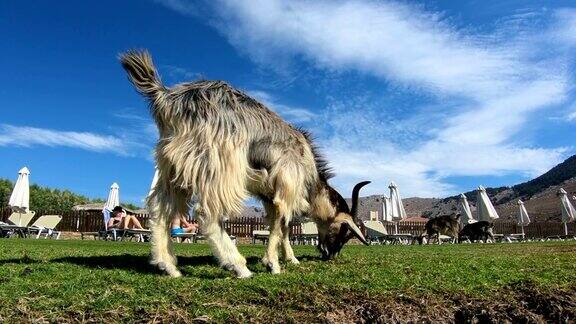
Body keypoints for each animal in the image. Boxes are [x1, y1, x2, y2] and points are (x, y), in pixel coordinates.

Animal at [120, 51, 368, 278]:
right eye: (345, 231)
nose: (329, 254)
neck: (309, 166)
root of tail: (167, 99)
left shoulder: (269, 195)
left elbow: (282, 226)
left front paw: (290, 258)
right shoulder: (286, 185)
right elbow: (281, 224)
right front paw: (273, 264)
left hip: (173, 168)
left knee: (160, 207)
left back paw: (169, 266)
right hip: (218, 165)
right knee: (207, 213)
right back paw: (238, 266)